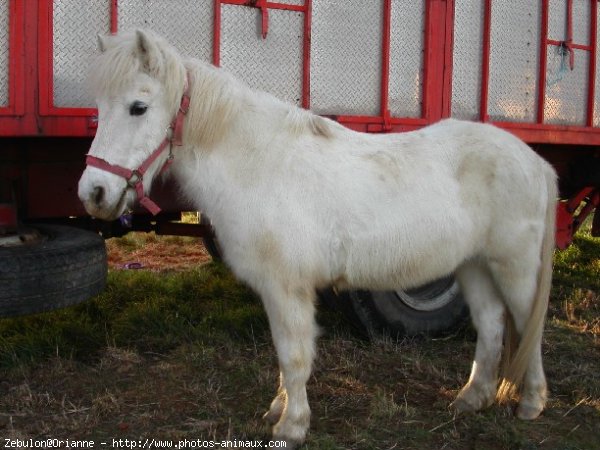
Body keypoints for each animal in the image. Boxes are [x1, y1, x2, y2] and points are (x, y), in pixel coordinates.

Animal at [78, 29, 556, 448]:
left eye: (138, 107)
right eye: (100, 106)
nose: (94, 193)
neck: (260, 165)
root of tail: (535, 162)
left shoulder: (287, 287)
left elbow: (293, 355)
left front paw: (291, 427)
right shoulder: (277, 291)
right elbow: (284, 355)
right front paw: (280, 409)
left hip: (513, 267)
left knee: (527, 324)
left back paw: (531, 403)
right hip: (473, 265)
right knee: (491, 324)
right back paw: (472, 399)